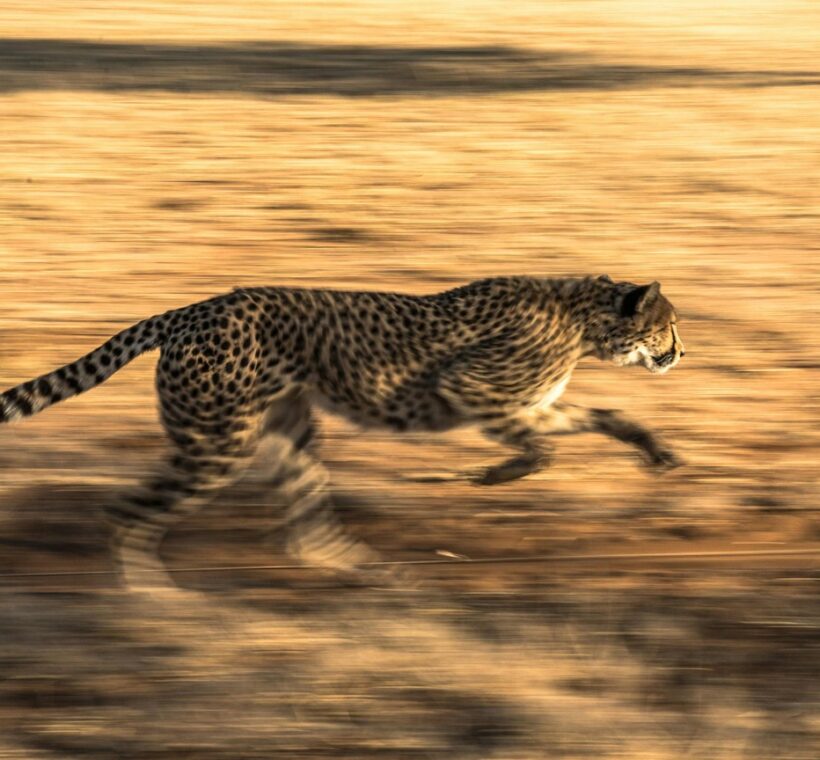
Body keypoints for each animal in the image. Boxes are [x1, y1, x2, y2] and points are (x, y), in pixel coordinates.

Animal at [0, 274, 684, 591]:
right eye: (667, 325)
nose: (681, 354)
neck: (585, 320)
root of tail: (194, 308)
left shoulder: (529, 405)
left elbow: (601, 420)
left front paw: (656, 450)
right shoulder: (472, 390)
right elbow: (539, 451)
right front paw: (493, 475)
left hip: (287, 431)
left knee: (305, 532)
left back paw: (378, 576)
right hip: (219, 443)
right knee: (124, 511)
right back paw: (155, 603)